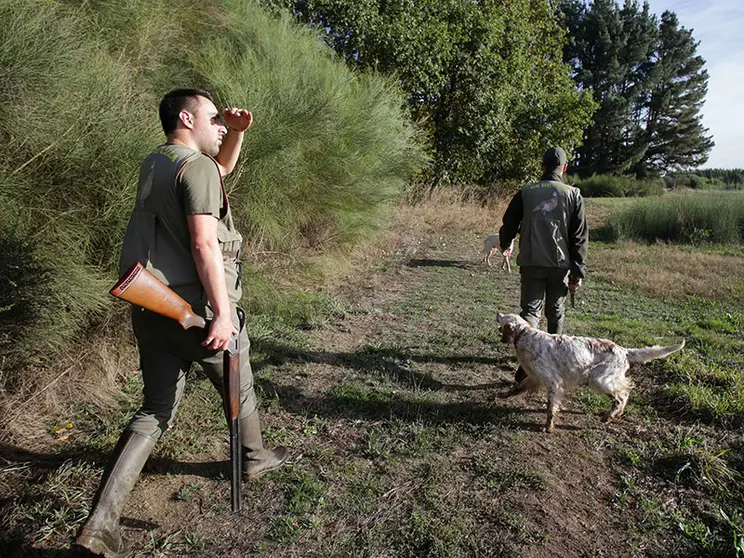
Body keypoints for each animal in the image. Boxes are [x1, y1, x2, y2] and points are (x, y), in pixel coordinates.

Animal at [496, 316, 684, 434]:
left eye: (503, 317)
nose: (498, 312)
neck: (525, 336)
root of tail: (623, 350)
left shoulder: (553, 382)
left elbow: (550, 408)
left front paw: (548, 427)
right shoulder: (535, 377)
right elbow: (517, 387)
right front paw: (503, 395)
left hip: (599, 379)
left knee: (622, 395)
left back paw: (610, 416)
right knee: (623, 394)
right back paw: (615, 415)